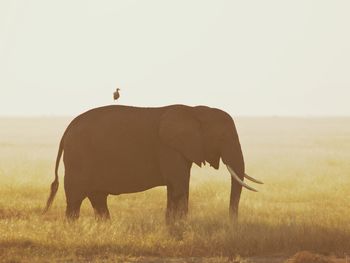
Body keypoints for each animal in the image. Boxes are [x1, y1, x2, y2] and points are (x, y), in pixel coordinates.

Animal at [43, 104, 262, 224]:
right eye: (223, 137)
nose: (233, 224)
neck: (195, 110)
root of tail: (66, 130)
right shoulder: (169, 148)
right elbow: (179, 187)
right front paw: (180, 227)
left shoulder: (180, 150)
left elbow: (176, 187)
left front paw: (173, 226)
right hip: (78, 158)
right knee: (76, 198)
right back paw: (74, 228)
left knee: (97, 197)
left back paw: (105, 227)